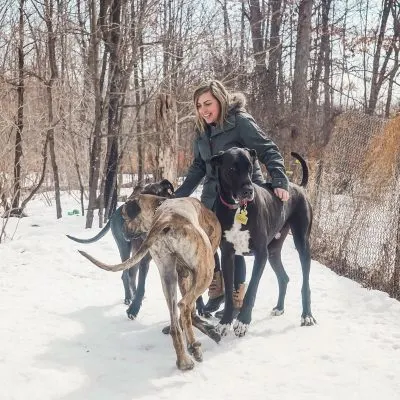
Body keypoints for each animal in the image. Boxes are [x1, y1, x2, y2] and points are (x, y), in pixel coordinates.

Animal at [173, 79, 290, 316]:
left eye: (249, 168)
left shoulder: (260, 253)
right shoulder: (227, 251)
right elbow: (228, 281)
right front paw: (226, 314)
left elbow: (251, 287)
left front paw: (241, 318)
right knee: (283, 277)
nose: (248, 191)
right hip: (273, 249)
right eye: (232, 169)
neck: (237, 208)